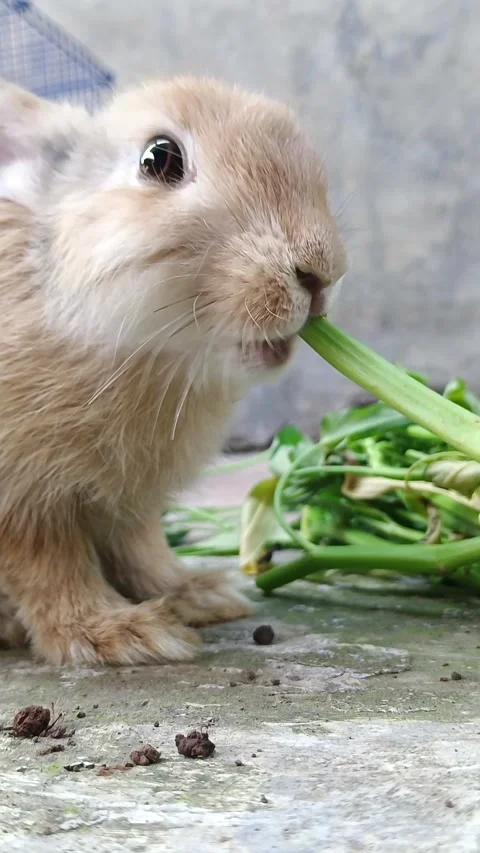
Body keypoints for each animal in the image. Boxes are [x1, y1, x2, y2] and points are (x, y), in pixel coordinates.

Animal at [0, 77, 347, 665]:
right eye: (159, 158)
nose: (320, 272)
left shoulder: (126, 503)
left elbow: (143, 551)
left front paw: (197, 595)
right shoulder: (28, 505)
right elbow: (52, 570)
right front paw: (118, 634)